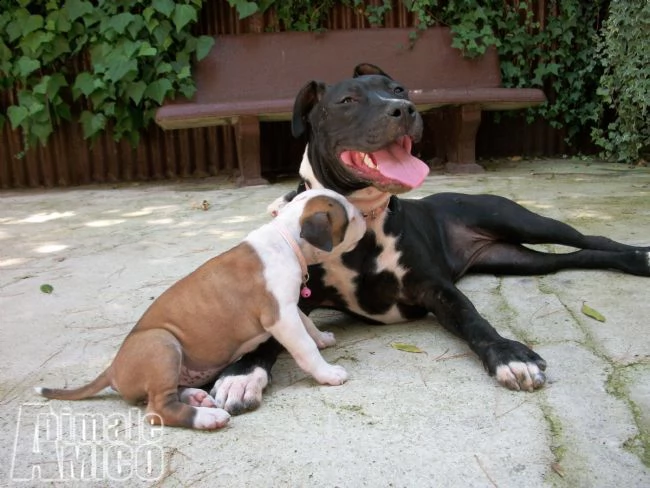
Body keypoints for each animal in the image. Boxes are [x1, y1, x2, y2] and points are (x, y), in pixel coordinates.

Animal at [36, 189, 364, 428]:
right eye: (349, 217)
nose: (364, 214)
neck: (286, 236)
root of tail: (112, 368)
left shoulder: (288, 308)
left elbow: (309, 328)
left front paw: (322, 339)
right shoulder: (280, 316)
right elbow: (304, 348)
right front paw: (327, 373)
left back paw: (196, 397)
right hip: (162, 344)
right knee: (157, 410)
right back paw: (207, 417)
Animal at [209, 62, 648, 412]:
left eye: (399, 89)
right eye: (347, 100)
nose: (402, 109)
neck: (362, 222)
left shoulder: (436, 288)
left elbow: (473, 319)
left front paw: (509, 355)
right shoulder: (300, 297)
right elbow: (269, 336)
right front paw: (241, 374)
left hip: (521, 220)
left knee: (592, 239)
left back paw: (639, 256)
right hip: (520, 258)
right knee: (572, 258)